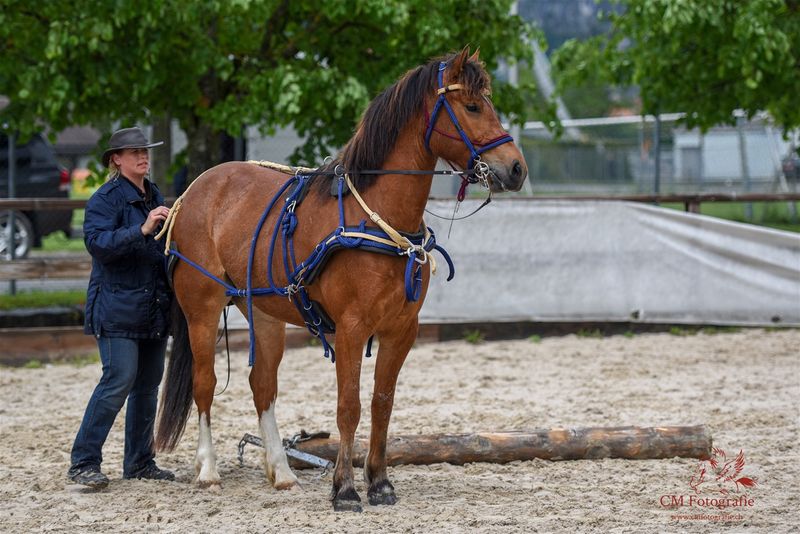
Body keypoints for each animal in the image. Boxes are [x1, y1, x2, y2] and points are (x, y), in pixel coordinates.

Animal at [154, 47, 528, 512]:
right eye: (473, 107)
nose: (516, 168)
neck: (377, 218)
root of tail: (194, 191)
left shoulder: (401, 329)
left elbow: (382, 403)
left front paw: (380, 482)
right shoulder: (351, 328)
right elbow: (349, 406)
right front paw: (345, 489)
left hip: (265, 314)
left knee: (263, 386)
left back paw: (281, 471)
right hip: (201, 311)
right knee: (204, 386)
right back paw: (208, 470)